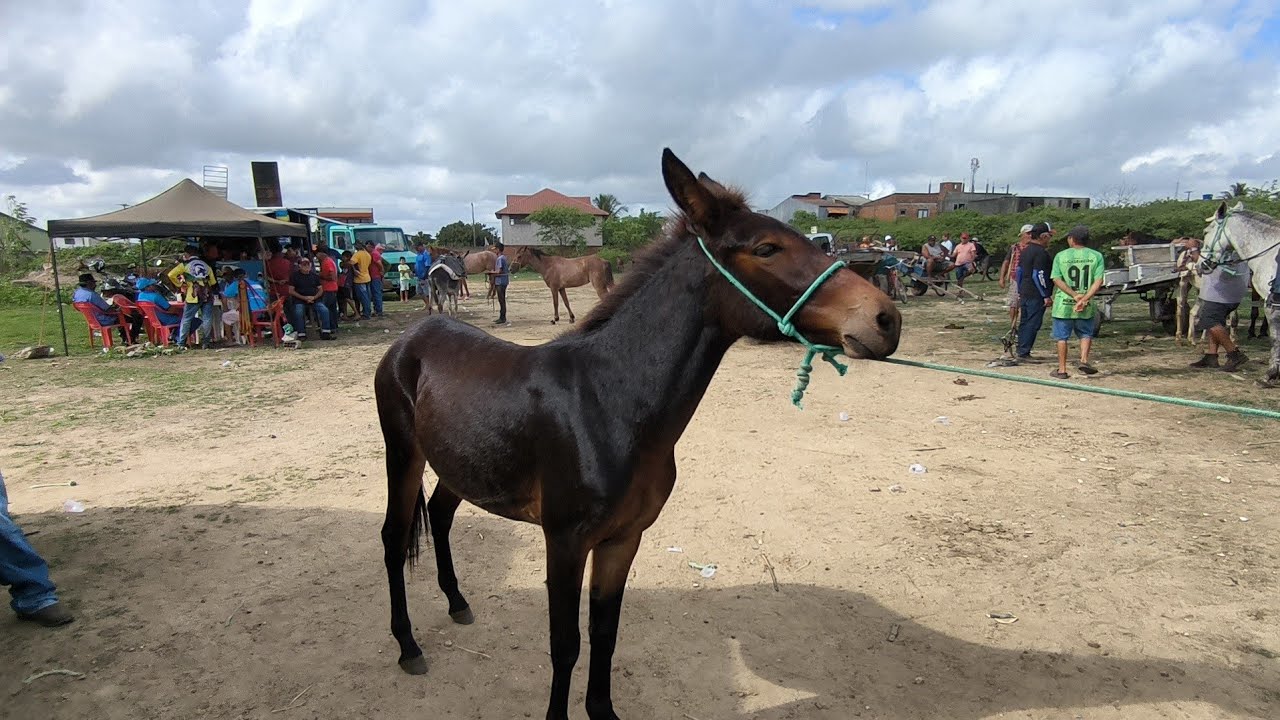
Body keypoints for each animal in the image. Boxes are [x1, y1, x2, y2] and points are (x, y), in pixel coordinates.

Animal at [373, 148, 901, 719]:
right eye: (766, 247)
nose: (885, 319)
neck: (609, 402)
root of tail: (413, 336)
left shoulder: (624, 539)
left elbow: (605, 634)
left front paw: (603, 710)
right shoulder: (564, 541)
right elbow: (566, 644)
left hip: (462, 466)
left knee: (442, 518)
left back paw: (457, 603)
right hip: (403, 455)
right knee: (393, 538)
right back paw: (408, 647)